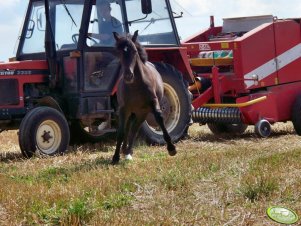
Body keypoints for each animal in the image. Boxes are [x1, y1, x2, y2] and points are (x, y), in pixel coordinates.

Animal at [110, 30, 176, 164]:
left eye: (135, 51)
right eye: (119, 52)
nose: (128, 76)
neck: (135, 86)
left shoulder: (152, 102)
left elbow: (159, 118)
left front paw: (171, 148)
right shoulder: (123, 108)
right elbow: (121, 131)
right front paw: (115, 157)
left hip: (142, 113)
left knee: (134, 129)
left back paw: (128, 151)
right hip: (134, 112)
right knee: (130, 128)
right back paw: (125, 150)